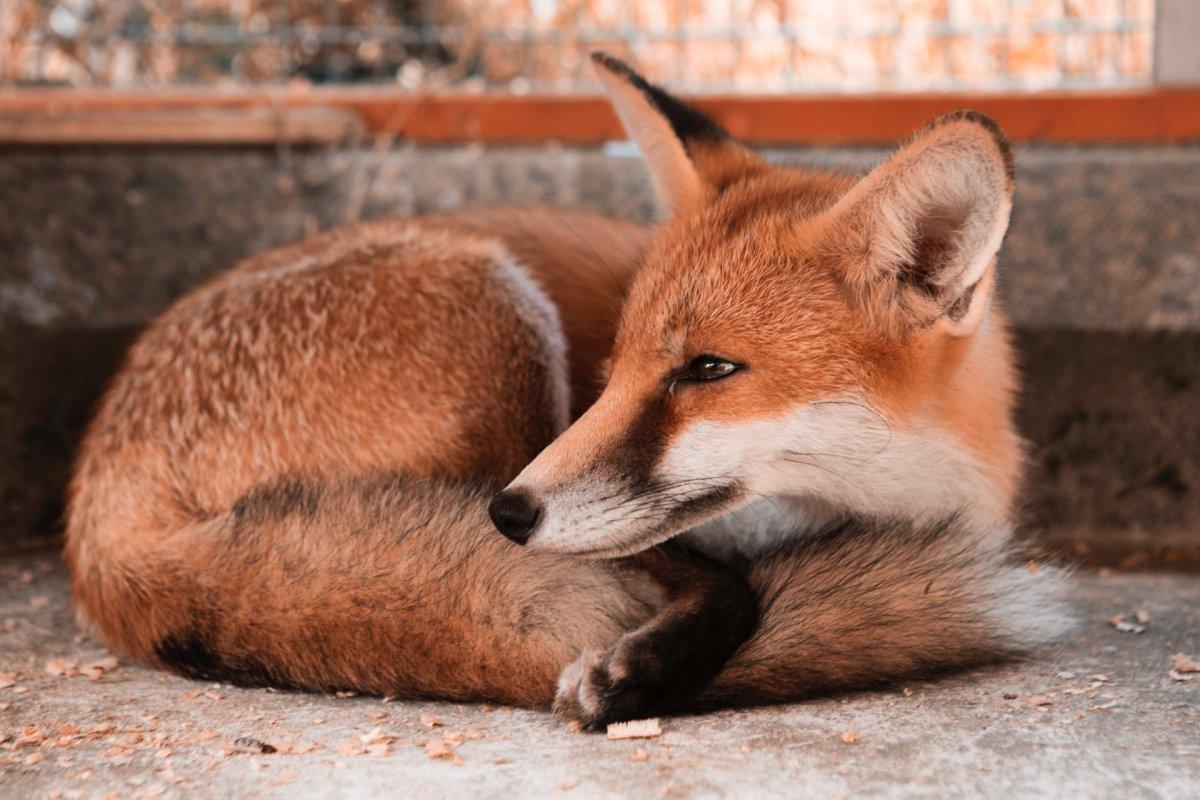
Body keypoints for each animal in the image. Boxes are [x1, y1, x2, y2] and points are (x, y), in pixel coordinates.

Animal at [63, 53, 1070, 729]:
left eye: (707, 369)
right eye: (614, 365)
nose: (508, 515)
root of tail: (98, 501)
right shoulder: (626, 519)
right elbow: (724, 578)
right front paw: (644, 667)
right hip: (499, 331)